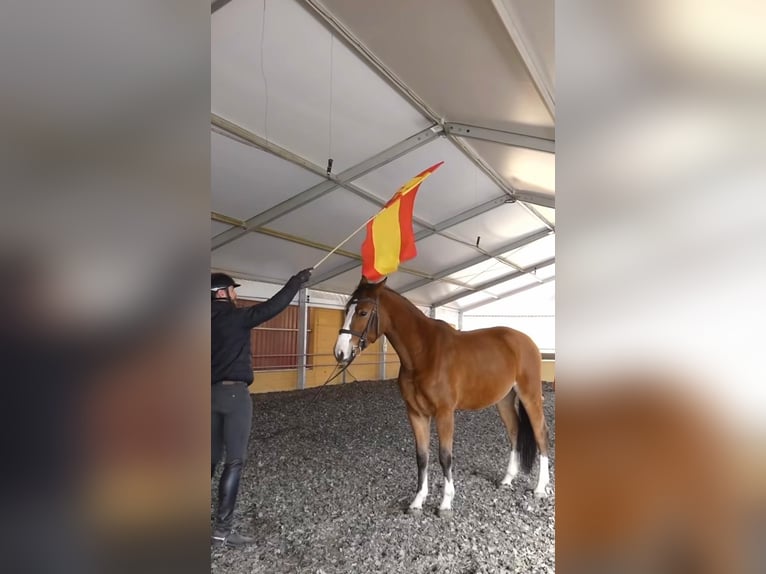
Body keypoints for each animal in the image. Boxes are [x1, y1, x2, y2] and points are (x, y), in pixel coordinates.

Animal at [333, 276, 550, 516]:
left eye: (362, 312)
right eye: (346, 309)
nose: (340, 353)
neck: (424, 353)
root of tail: (527, 341)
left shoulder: (445, 413)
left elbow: (445, 456)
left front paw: (445, 503)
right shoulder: (416, 413)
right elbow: (422, 457)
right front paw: (417, 501)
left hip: (530, 396)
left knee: (541, 434)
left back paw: (540, 488)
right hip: (504, 400)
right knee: (514, 433)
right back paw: (507, 480)